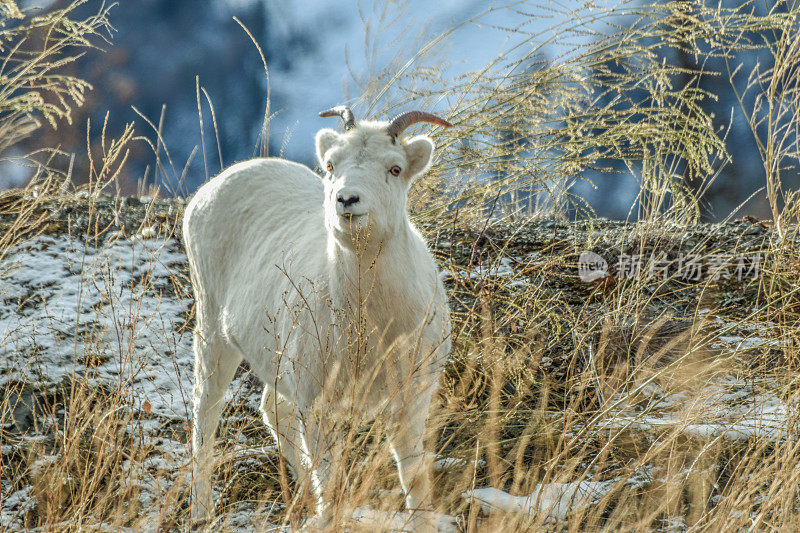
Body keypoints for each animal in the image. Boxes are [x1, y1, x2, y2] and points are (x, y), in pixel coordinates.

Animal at [184, 106, 454, 524]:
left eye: (394, 169)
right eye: (331, 165)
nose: (347, 199)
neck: (373, 323)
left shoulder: (411, 398)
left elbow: (411, 472)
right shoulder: (319, 405)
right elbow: (332, 479)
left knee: (272, 410)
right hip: (212, 329)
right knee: (206, 410)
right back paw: (202, 511)